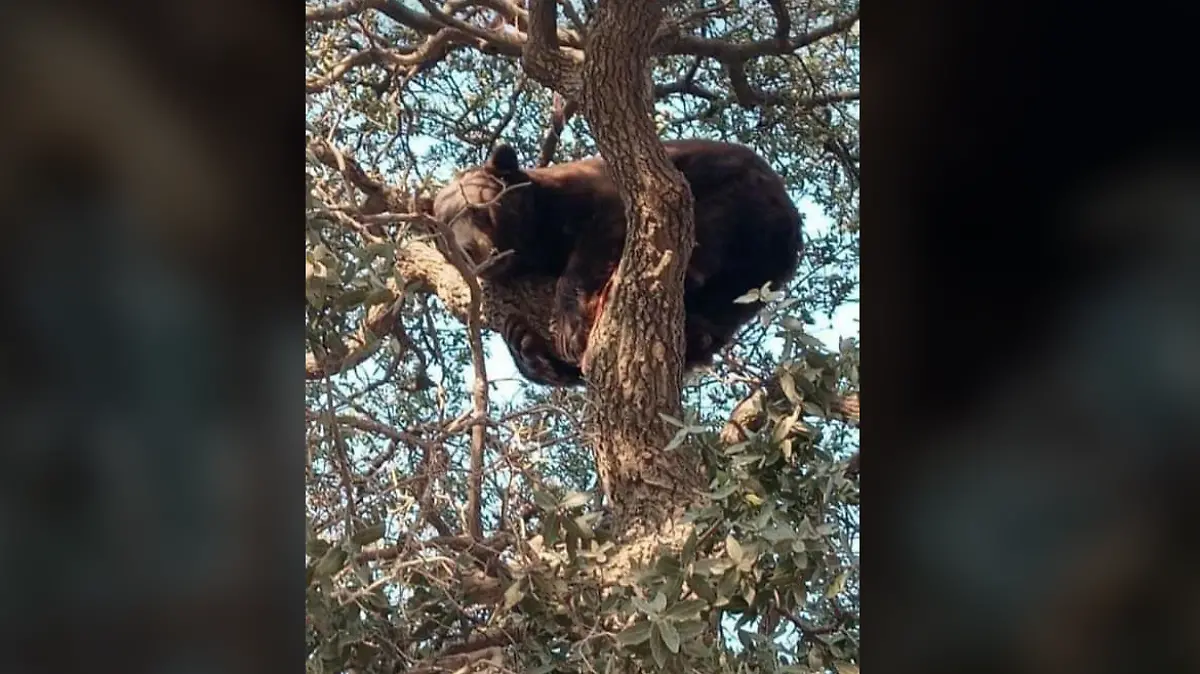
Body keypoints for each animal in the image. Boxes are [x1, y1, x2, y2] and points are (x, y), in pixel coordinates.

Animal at [434, 137, 806, 383]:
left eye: (479, 208)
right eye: (446, 229)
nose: (470, 249)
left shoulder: (591, 194)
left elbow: (603, 232)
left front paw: (569, 323)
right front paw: (525, 344)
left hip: (736, 196)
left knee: (706, 233)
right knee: (721, 312)